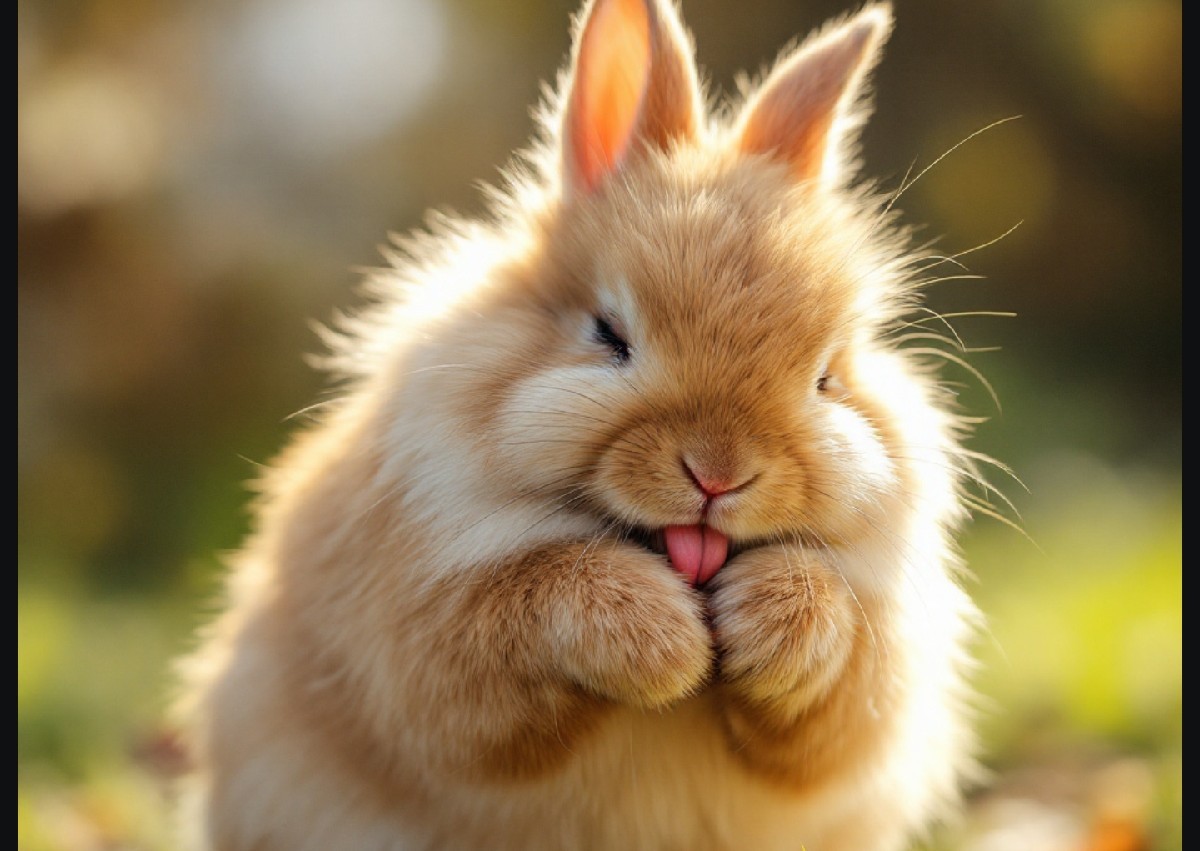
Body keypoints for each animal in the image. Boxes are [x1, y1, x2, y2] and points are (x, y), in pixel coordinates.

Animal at [174, 1, 987, 849]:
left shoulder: (866, 675)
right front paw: (671, 650)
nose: (718, 472)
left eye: (828, 374)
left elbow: (826, 688)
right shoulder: (428, 638)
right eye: (609, 333)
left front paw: (760, 616)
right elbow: (542, 598)